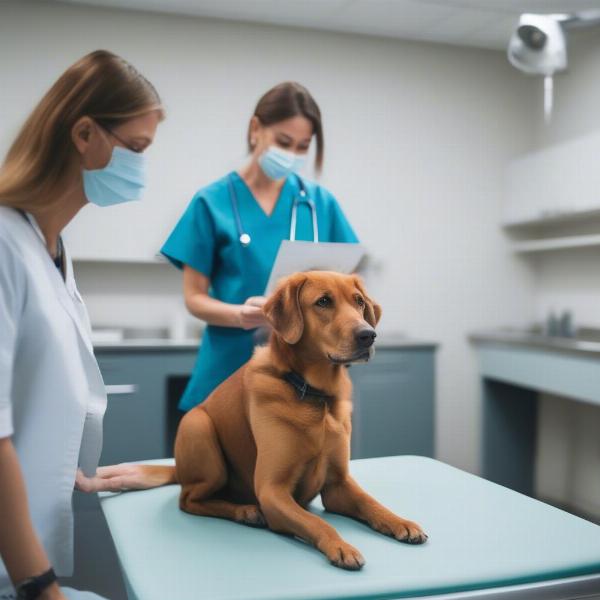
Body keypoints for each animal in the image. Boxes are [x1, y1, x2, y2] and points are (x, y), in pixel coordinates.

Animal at [173, 270, 426, 568]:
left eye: (359, 302)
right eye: (323, 301)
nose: (368, 335)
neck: (315, 396)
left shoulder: (338, 484)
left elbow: (371, 503)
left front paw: (401, 522)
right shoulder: (272, 491)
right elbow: (317, 522)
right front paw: (341, 546)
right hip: (198, 428)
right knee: (189, 500)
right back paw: (245, 511)